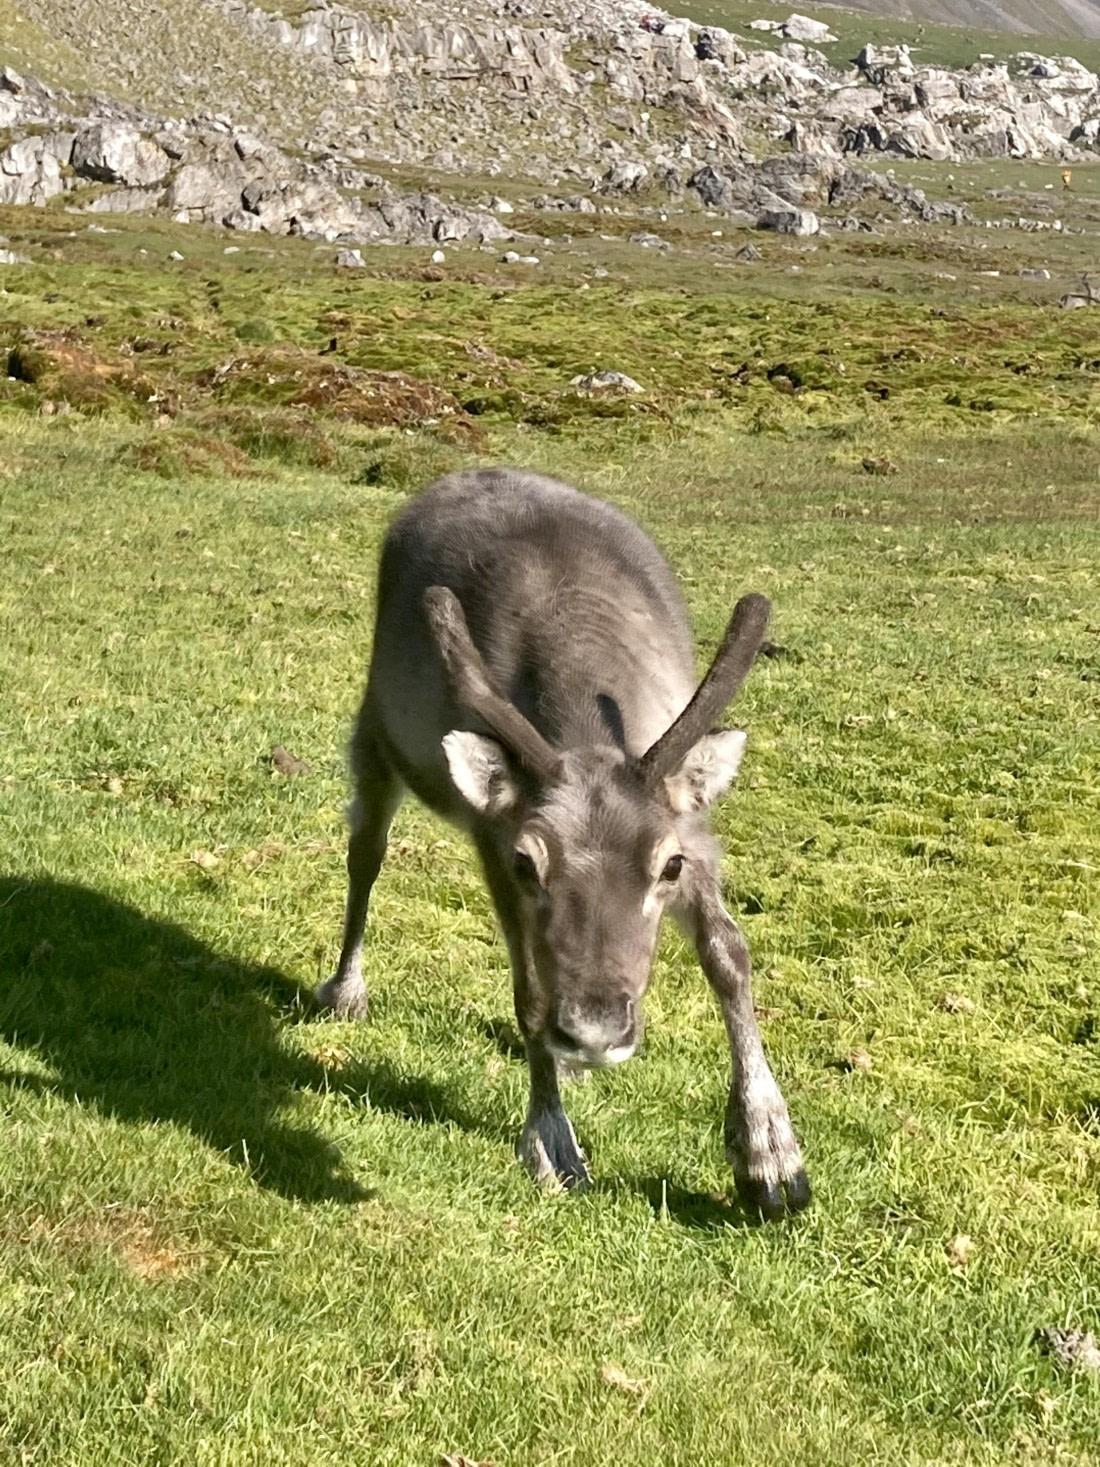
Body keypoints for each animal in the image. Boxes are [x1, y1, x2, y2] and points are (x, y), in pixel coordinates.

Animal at [317, 468, 809, 1219]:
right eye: (529, 860)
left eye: (668, 864)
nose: (596, 1030)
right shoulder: (490, 831)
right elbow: (526, 992)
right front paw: (550, 1142)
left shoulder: (690, 820)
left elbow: (730, 953)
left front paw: (770, 1155)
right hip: (376, 735)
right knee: (364, 856)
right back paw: (345, 988)